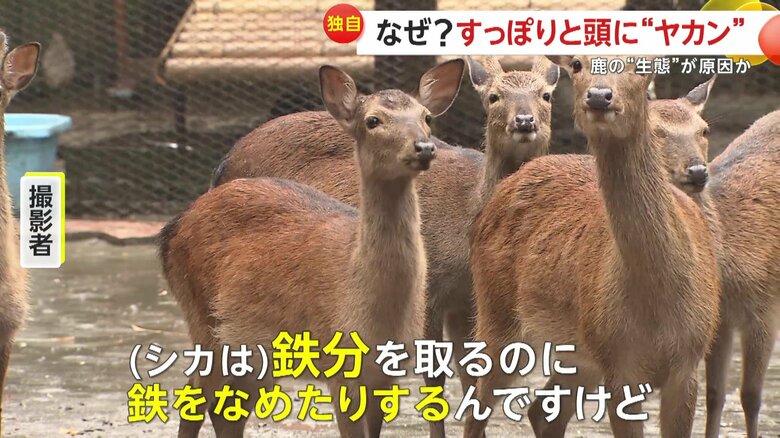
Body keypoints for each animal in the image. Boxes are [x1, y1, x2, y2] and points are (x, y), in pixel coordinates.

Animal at [158, 59, 464, 437]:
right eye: (373, 120)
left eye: (426, 117)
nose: (424, 147)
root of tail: (170, 231)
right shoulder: (340, 364)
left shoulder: (386, 373)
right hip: (203, 319)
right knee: (203, 397)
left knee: (217, 402)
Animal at [209, 57, 560, 437]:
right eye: (494, 96)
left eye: (546, 94)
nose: (524, 121)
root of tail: (223, 163)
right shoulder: (430, 291)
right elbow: (434, 380)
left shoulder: (467, 301)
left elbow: (472, 376)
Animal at [463, 56, 721, 438]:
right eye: (576, 63)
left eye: (705, 130)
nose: (600, 96)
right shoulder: (616, 363)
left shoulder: (689, 361)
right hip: (497, 314)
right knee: (476, 405)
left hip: (577, 355)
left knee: (543, 410)